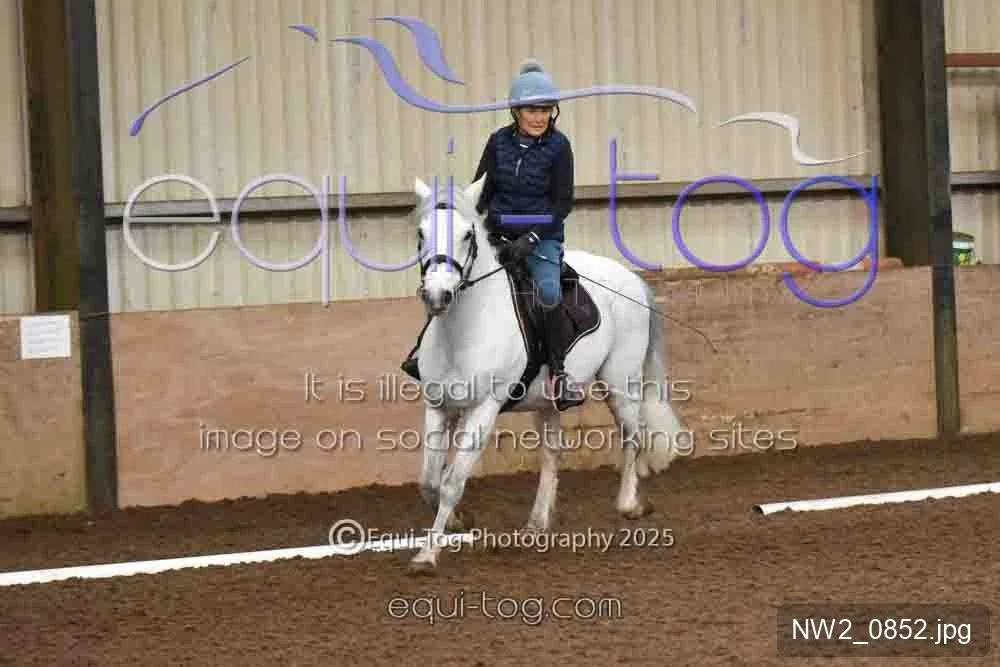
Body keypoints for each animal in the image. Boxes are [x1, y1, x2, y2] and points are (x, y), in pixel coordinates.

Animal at [406, 174, 687, 575]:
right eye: (421, 232)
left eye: (466, 234)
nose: (437, 295)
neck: (463, 330)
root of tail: (631, 278)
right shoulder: (438, 407)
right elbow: (429, 481)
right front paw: (461, 522)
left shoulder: (483, 410)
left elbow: (450, 482)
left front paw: (427, 556)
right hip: (547, 401)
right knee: (552, 455)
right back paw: (537, 523)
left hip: (620, 381)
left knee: (632, 435)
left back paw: (630, 505)